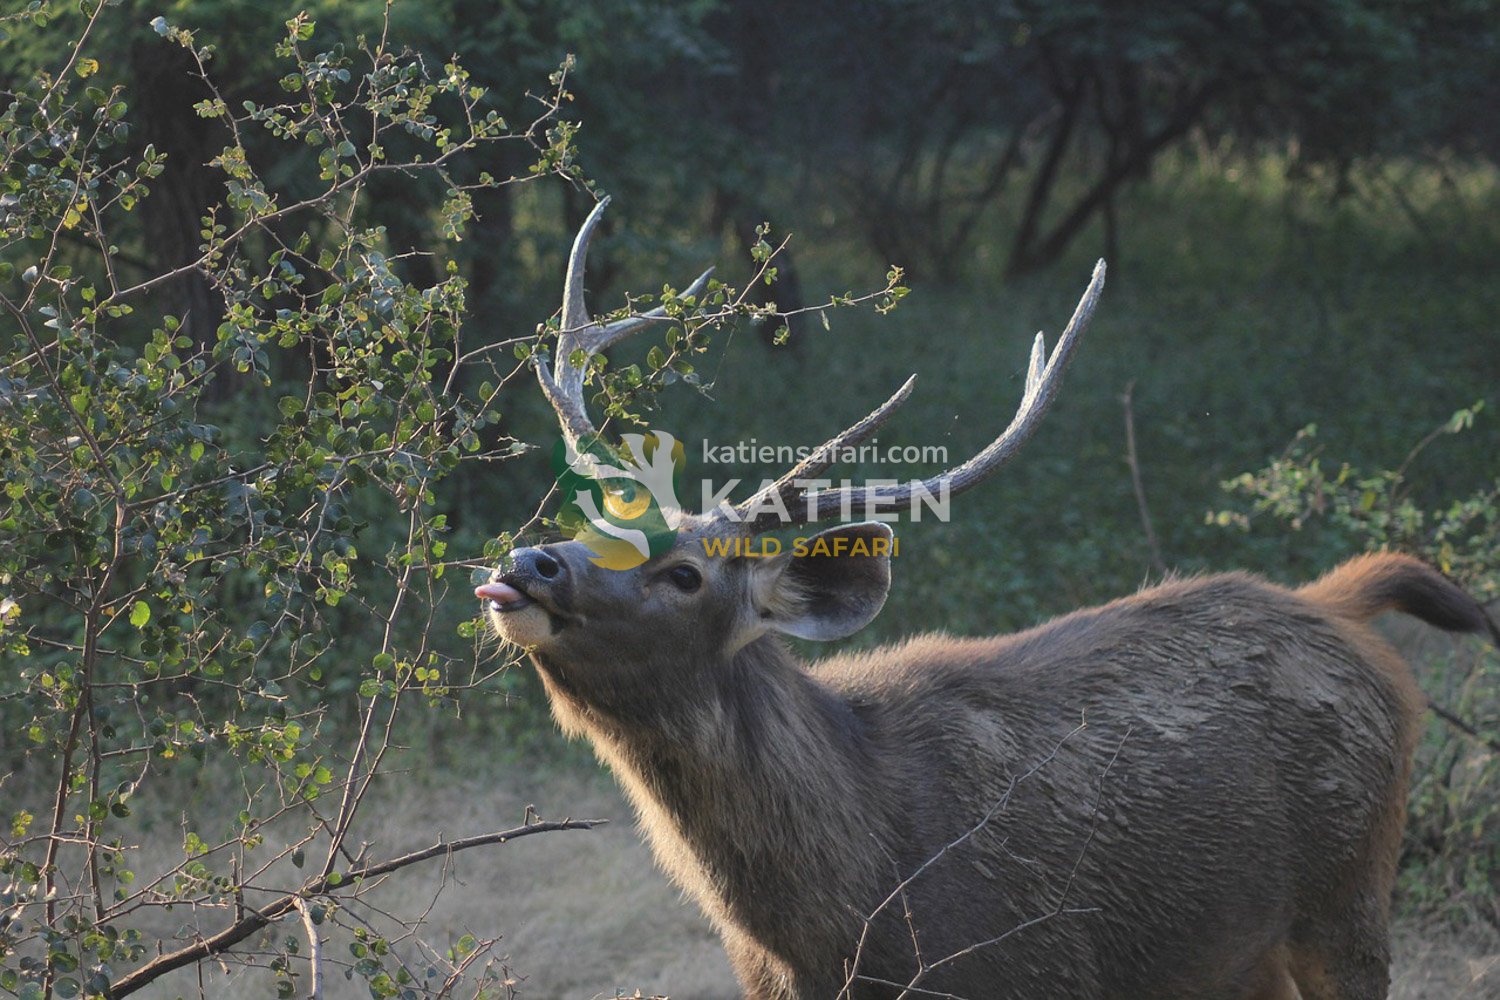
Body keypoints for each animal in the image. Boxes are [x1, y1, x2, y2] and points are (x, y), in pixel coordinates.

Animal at [476, 198, 1497, 1000]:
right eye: (592, 522)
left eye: (686, 574)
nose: (532, 561)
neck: (841, 925)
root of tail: (1335, 606)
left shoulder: (1034, 971)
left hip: (1350, 885)